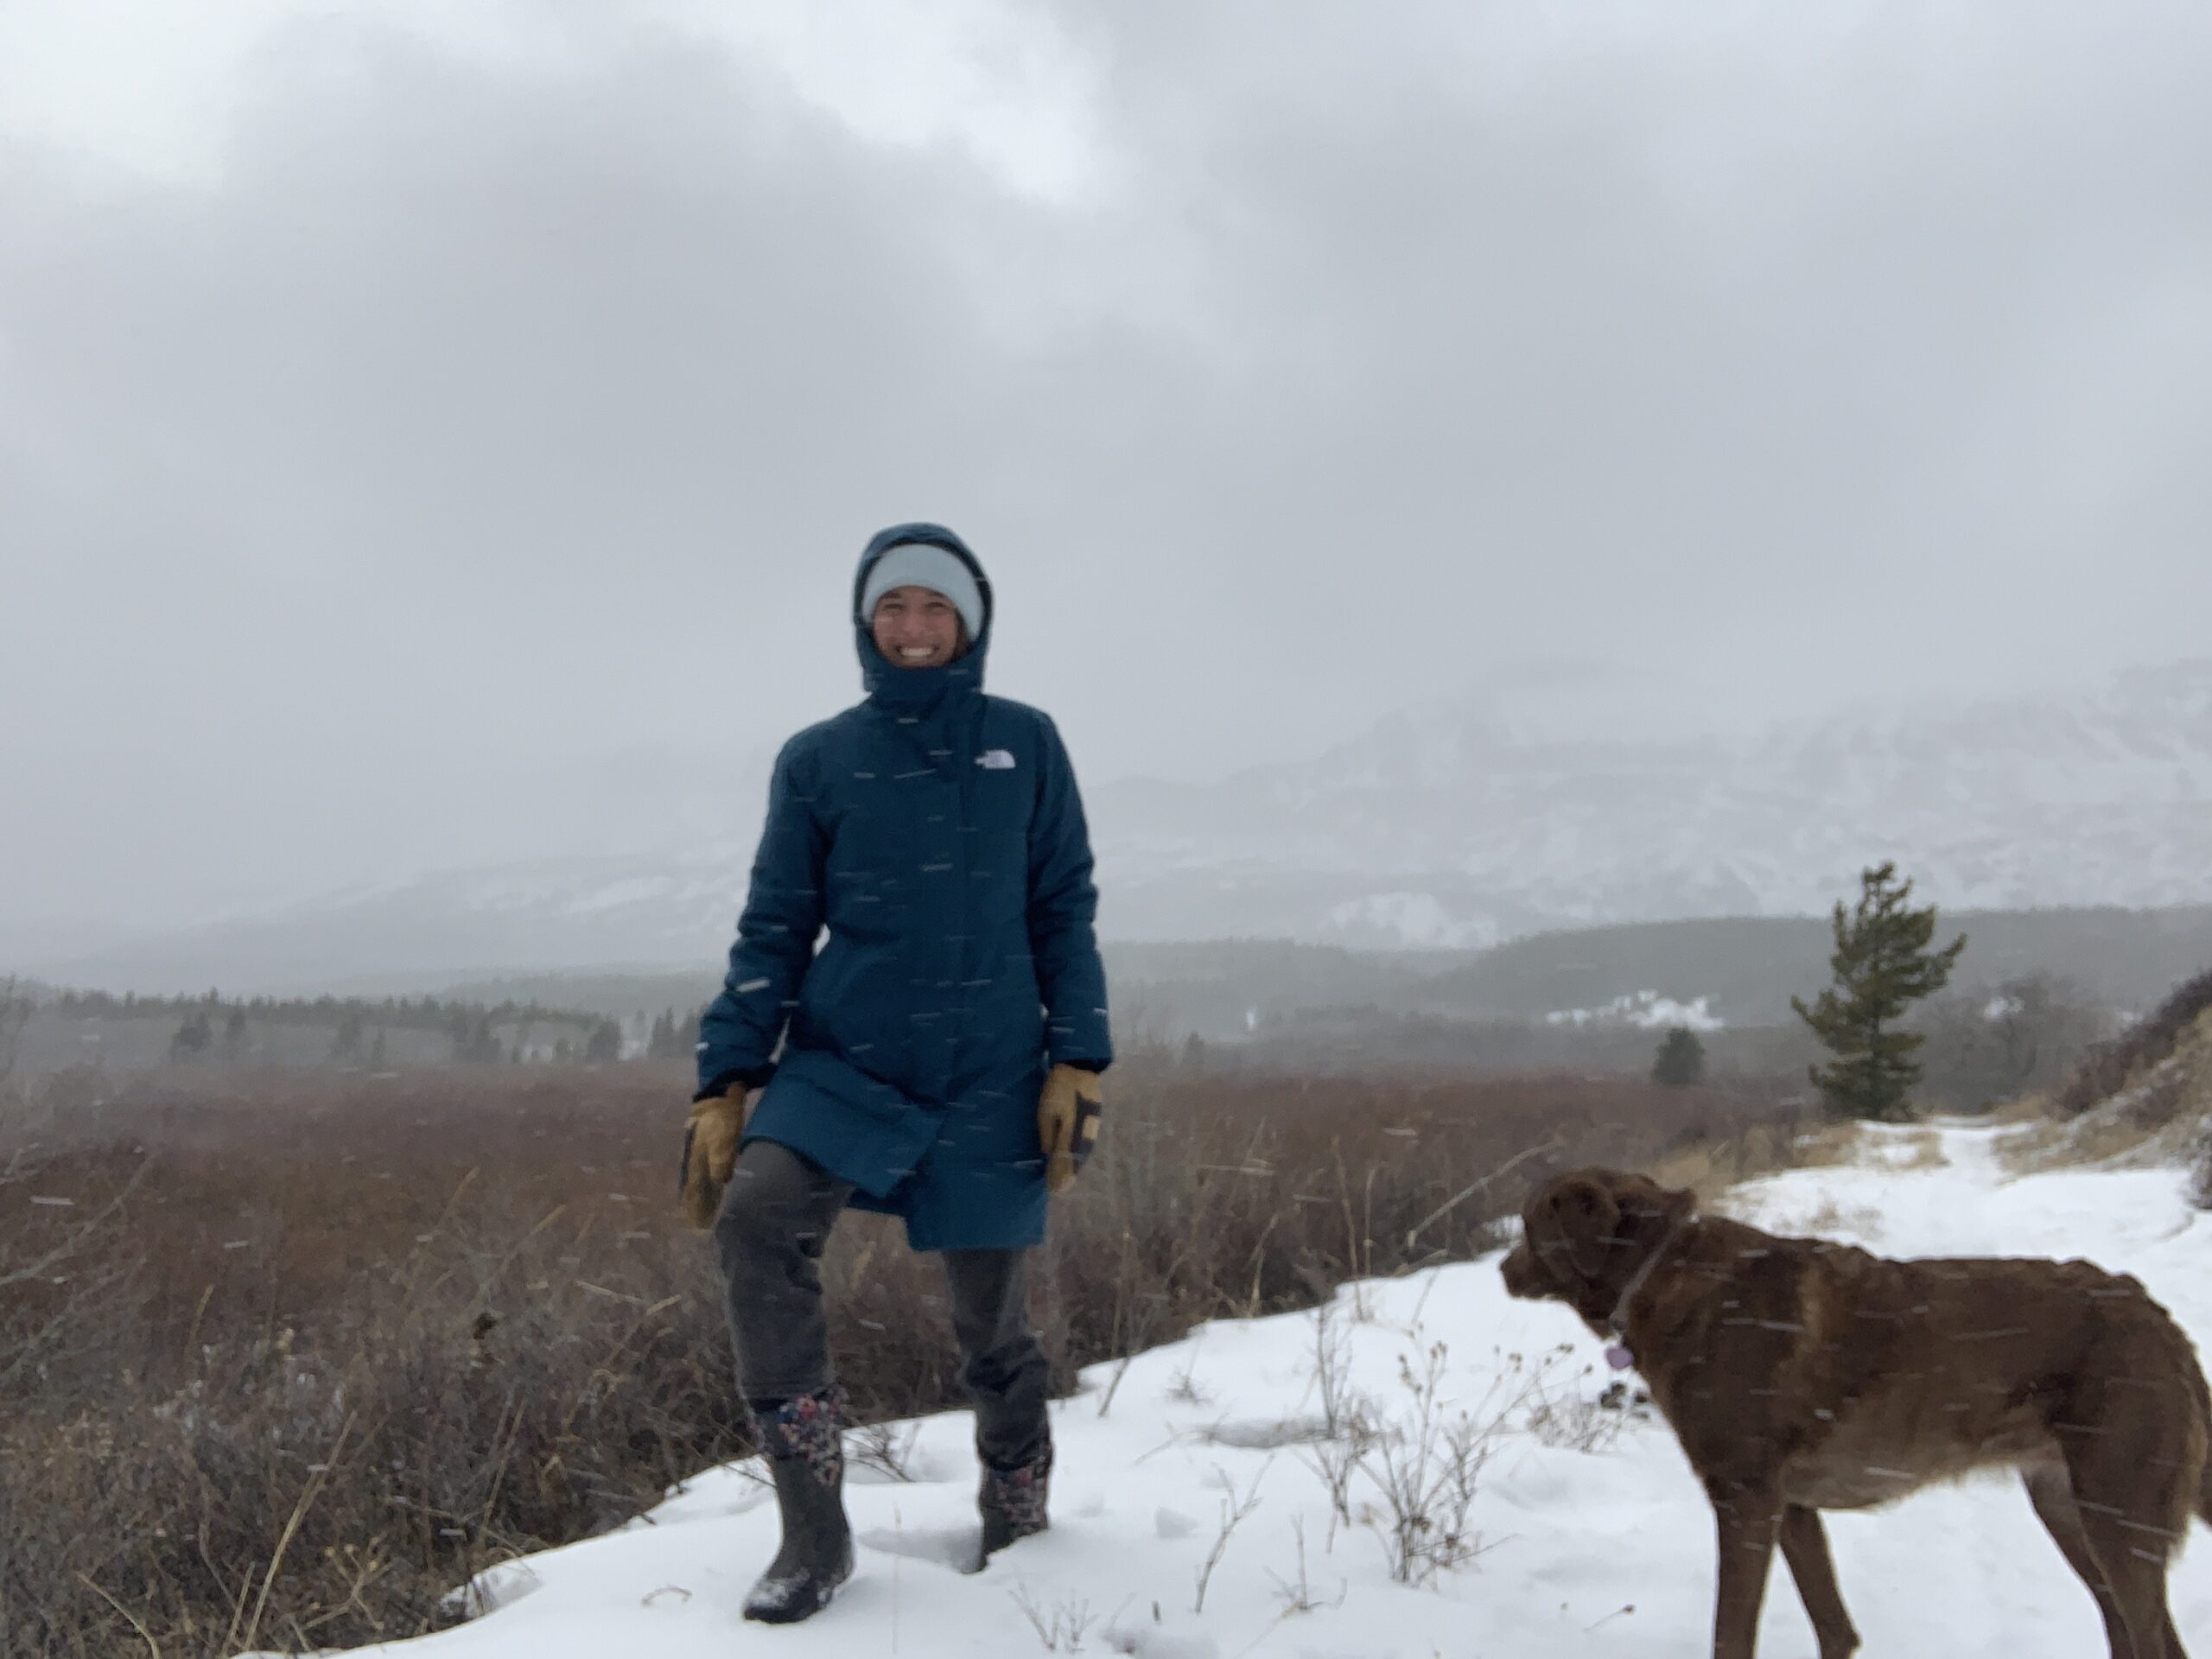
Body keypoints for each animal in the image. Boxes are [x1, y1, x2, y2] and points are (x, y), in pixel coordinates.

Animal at [1503, 1167, 2212, 1659]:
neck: (1655, 1271)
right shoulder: (1791, 1507)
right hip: (2068, 1508)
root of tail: (2160, 1319)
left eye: (1530, 1227)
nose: (1503, 1270)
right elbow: (1835, 1629)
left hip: (2120, 1513)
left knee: (2155, 1639)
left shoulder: (1744, 1498)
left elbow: (1732, 1634)